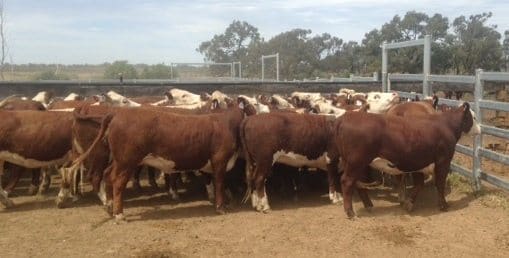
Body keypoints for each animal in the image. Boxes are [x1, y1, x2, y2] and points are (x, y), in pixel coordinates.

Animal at [330, 103, 480, 218]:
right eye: (474, 117)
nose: (480, 129)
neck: (445, 125)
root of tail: (345, 118)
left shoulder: (419, 162)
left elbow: (419, 184)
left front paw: (409, 203)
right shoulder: (443, 161)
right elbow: (439, 183)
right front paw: (443, 205)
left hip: (356, 163)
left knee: (357, 183)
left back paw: (368, 205)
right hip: (356, 162)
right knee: (347, 181)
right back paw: (350, 212)